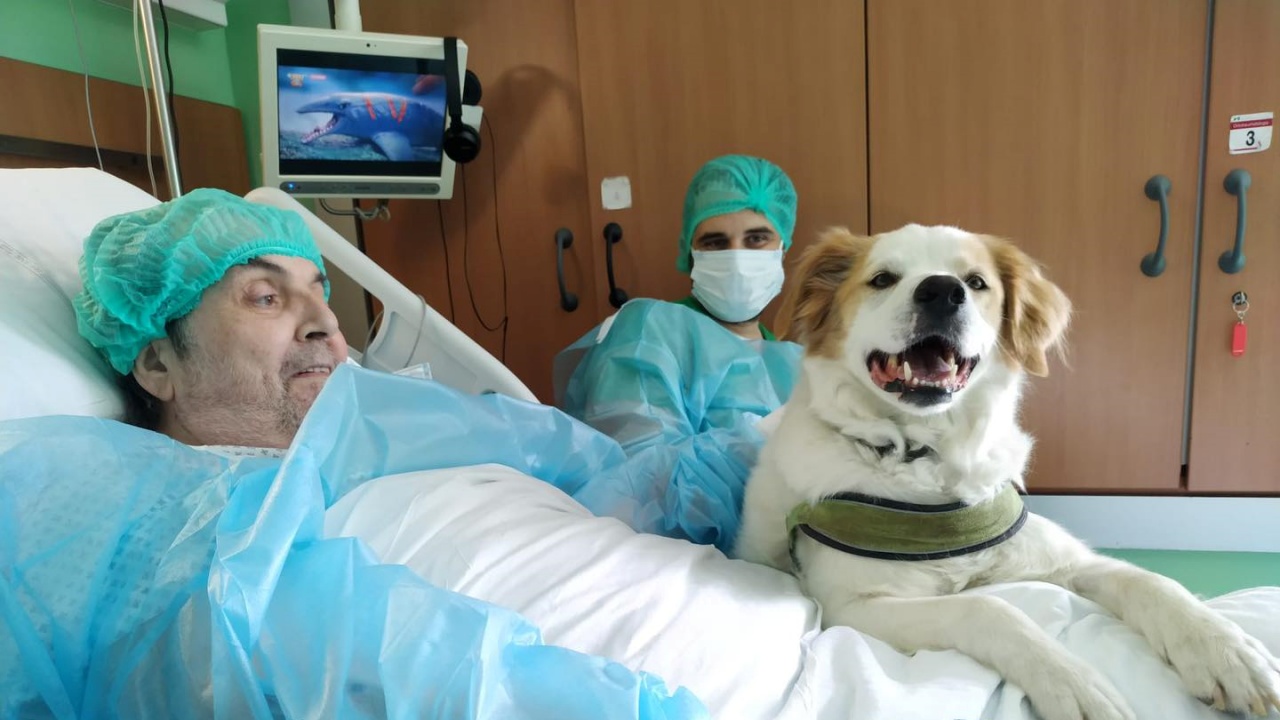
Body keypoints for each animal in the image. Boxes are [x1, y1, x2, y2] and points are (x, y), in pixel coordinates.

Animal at [737, 225, 1274, 717]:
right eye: (883, 278)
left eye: (975, 282)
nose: (942, 291)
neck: (930, 456)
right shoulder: (853, 607)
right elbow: (988, 607)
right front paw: (1074, 683)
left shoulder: (1068, 561)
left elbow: (1152, 582)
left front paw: (1227, 653)